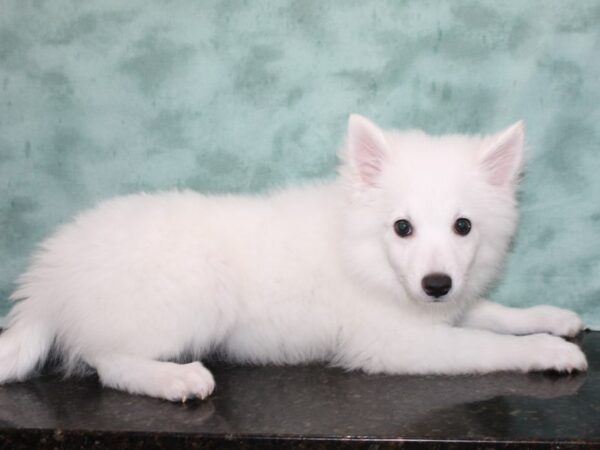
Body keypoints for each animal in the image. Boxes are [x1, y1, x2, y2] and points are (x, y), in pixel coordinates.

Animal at [0, 115, 584, 400]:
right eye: (403, 228)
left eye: (463, 227)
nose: (436, 284)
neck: (362, 251)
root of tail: (51, 273)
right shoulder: (392, 342)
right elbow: (486, 343)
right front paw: (549, 350)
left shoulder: (441, 308)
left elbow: (493, 314)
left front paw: (554, 318)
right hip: (194, 296)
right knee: (106, 360)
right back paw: (176, 381)